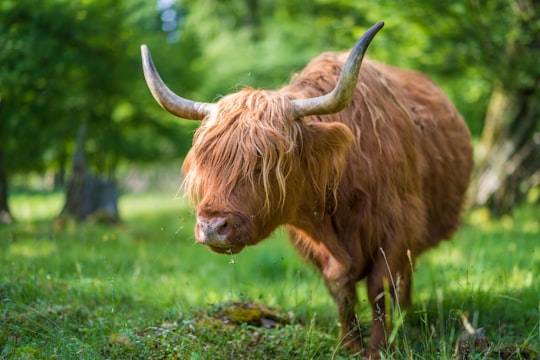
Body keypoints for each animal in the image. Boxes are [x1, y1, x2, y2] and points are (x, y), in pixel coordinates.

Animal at [139, 22, 472, 358]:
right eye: (205, 161)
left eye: (263, 161)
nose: (212, 227)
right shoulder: (313, 241)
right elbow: (340, 287)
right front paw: (349, 344)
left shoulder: (397, 226)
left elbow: (380, 287)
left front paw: (379, 348)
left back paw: (405, 314)